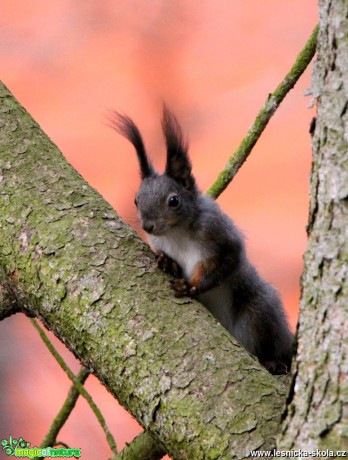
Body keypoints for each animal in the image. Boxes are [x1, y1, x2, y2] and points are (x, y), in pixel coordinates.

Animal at [109, 107, 294, 374]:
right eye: (136, 200)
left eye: (173, 200)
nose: (147, 226)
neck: (177, 233)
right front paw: (167, 262)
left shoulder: (220, 236)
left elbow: (224, 263)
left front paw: (190, 286)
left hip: (259, 313)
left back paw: (273, 361)